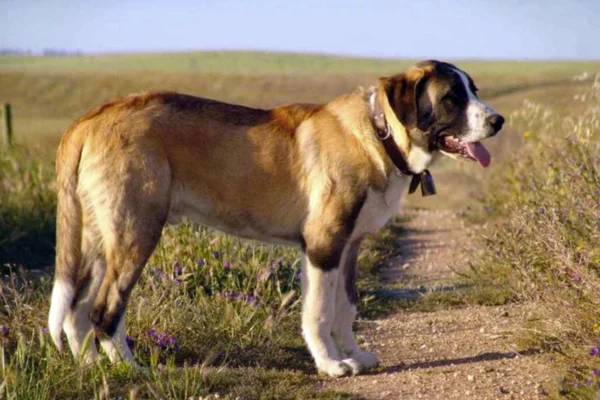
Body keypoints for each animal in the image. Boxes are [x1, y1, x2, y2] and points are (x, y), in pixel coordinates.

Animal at [49, 58, 504, 376]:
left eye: (473, 90)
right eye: (451, 98)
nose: (498, 121)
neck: (381, 134)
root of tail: (89, 119)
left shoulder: (349, 247)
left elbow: (346, 308)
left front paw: (354, 355)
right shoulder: (323, 245)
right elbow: (319, 312)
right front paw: (331, 365)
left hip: (98, 241)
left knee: (76, 310)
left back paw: (90, 368)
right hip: (136, 233)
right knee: (105, 310)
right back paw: (131, 369)